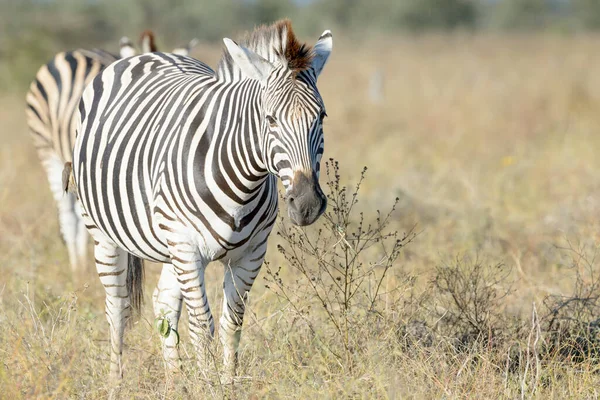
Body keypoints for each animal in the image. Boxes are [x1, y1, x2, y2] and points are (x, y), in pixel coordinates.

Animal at [71, 20, 332, 380]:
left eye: (321, 116)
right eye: (270, 119)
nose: (307, 204)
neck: (243, 180)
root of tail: (150, 55)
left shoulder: (250, 254)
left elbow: (231, 325)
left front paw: (228, 384)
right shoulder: (187, 247)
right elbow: (201, 326)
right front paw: (207, 384)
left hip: (170, 247)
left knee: (164, 302)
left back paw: (174, 382)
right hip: (106, 235)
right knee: (117, 308)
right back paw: (115, 382)